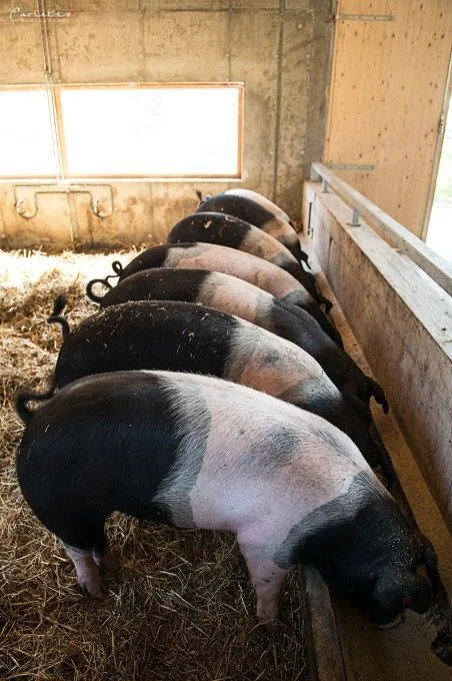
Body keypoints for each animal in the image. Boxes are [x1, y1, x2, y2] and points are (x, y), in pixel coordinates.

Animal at [15, 371, 438, 634]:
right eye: (400, 600)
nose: (395, 625)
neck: (344, 525)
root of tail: (34, 423)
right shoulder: (267, 541)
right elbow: (267, 583)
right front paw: (273, 625)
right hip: (62, 505)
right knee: (77, 549)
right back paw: (96, 592)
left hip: (88, 509)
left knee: (97, 541)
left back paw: (115, 567)